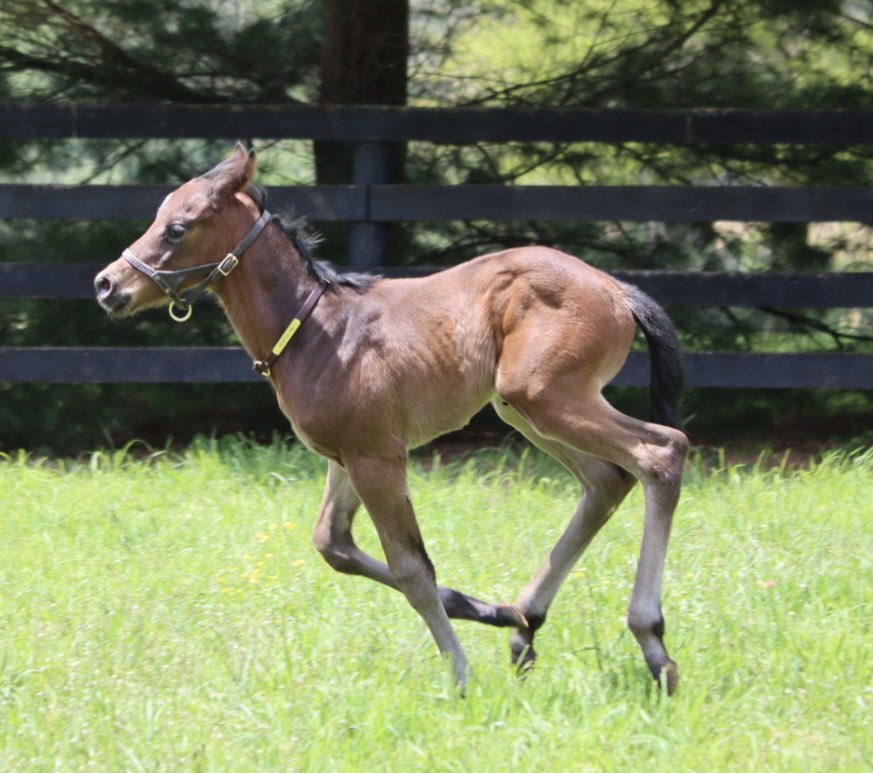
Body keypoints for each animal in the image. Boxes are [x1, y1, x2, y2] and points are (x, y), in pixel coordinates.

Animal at [95, 146, 688, 692]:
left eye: (177, 228)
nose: (106, 284)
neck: (315, 330)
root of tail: (616, 289)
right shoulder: (346, 457)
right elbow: (333, 544)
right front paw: (488, 611)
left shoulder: (377, 456)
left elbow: (410, 569)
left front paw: (460, 675)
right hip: (521, 406)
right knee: (606, 480)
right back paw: (525, 624)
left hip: (544, 396)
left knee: (661, 451)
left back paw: (653, 643)